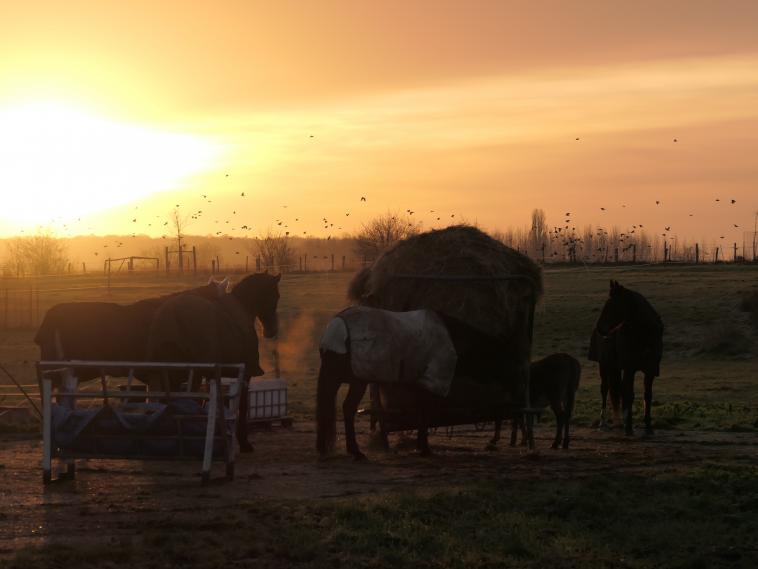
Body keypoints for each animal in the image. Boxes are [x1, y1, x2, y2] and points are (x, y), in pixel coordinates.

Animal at [588, 280, 664, 434]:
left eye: (611, 304)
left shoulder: (650, 370)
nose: (599, 327)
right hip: (604, 365)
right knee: (605, 389)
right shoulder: (630, 368)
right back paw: (603, 423)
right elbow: (629, 394)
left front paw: (648, 427)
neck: (644, 335)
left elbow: (647, 395)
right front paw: (629, 428)